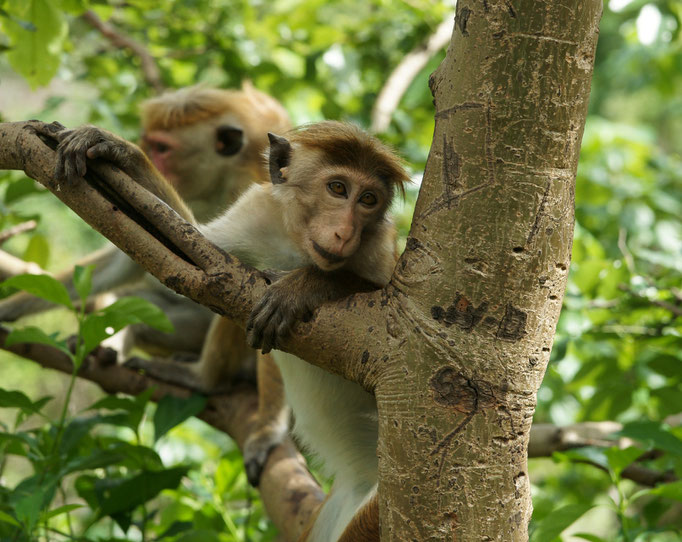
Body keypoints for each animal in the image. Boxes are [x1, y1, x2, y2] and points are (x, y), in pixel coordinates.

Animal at [42, 120, 410, 542]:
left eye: (368, 200)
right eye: (337, 188)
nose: (346, 232)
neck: (298, 244)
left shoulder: (377, 248)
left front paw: (301, 287)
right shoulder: (256, 211)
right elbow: (184, 245)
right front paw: (113, 149)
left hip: (379, 501)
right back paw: (200, 378)